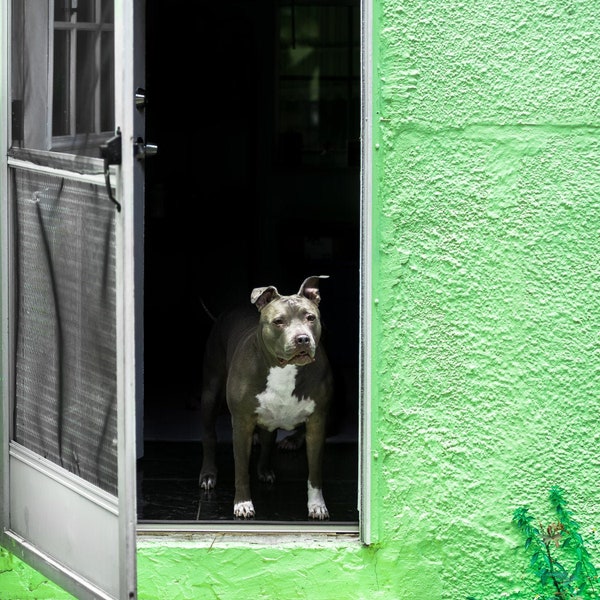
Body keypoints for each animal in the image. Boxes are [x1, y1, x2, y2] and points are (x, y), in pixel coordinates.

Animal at [200, 274, 332, 516]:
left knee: (268, 440)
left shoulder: (317, 423)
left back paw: (264, 471)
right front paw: (242, 504)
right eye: (278, 321)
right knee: (209, 436)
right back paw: (208, 474)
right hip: (210, 393)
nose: (302, 339)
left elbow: (315, 472)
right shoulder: (241, 423)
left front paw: (317, 505)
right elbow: (241, 469)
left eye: (311, 318)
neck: (283, 369)